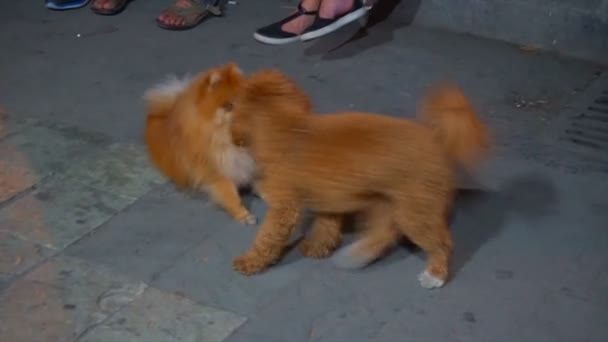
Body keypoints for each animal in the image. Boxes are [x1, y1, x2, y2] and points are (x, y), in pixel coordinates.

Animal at [144, 63, 258, 224]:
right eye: (229, 106)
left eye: (246, 102)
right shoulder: (217, 172)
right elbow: (230, 195)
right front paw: (243, 214)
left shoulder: (248, 162)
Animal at [228, 69, 490, 288]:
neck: (288, 129)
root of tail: (436, 138)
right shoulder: (328, 199)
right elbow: (326, 227)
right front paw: (318, 246)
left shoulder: (284, 209)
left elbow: (267, 238)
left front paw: (251, 261)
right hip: (386, 202)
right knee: (385, 233)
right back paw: (359, 254)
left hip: (415, 212)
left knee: (441, 243)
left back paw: (435, 274)